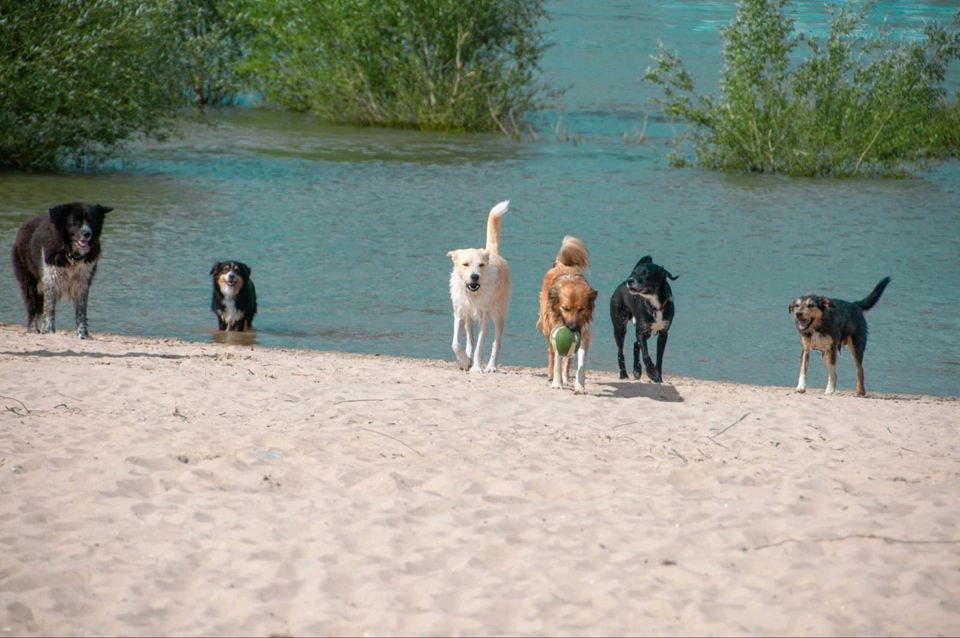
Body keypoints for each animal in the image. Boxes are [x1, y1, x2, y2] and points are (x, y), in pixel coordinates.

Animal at [10, 202, 113, 340]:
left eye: (91, 221)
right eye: (74, 222)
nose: (87, 233)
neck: (71, 255)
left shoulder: (82, 283)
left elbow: (81, 312)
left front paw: (83, 334)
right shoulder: (51, 279)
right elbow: (49, 309)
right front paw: (48, 331)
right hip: (29, 282)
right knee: (32, 307)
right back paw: (32, 329)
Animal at [448, 201, 512, 376]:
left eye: (481, 265)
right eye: (465, 264)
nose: (475, 277)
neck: (473, 294)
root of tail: (493, 253)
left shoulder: (485, 317)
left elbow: (480, 346)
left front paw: (476, 367)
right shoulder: (459, 313)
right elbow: (456, 343)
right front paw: (465, 362)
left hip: (499, 314)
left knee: (497, 342)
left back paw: (491, 366)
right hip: (468, 318)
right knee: (470, 339)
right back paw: (467, 358)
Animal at [536, 236, 596, 396]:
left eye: (581, 309)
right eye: (565, 308)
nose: (573, 328)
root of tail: (563, 265)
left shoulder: (584, 335)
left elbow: (581, 365)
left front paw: (580, 386)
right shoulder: (556, 330)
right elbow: (557, 359)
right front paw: (557, 383)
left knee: (568, 359)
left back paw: (566, 377)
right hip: (547, 328)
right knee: (551, 353)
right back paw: (552, 376)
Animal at [612, 256, 680, 384]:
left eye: (646, 273)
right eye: (634, 272)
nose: (630, 280)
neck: (655, 306)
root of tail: (620, 286)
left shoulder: (663, 334)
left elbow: (659, 358)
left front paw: (658, 377)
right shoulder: (640, 331)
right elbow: (646, 355)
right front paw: (651, 372)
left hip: (648, 331)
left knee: (635, 344)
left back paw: (637, 370)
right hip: (619, 327)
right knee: (620, 351)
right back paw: (624, 375)